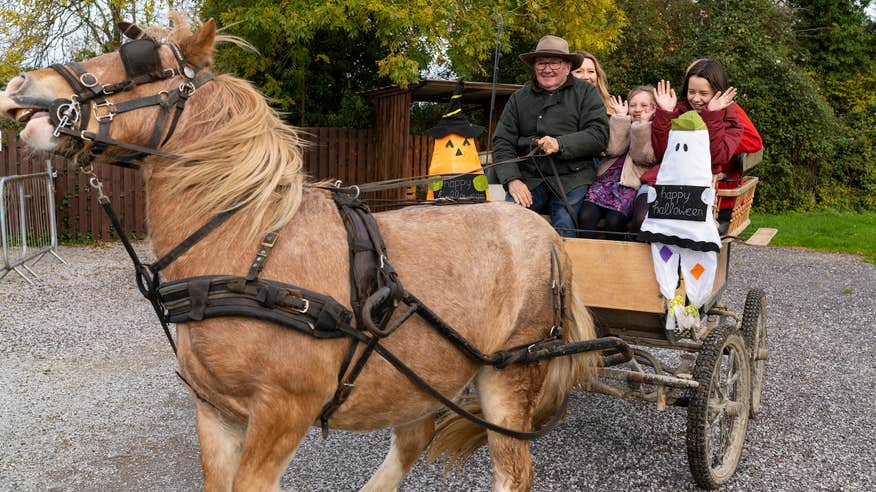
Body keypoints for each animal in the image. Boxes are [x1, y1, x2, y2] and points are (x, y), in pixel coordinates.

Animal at [0, 13, 600, 490]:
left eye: (141, 62)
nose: (20, 83)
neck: (249, 247)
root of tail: (543, 229)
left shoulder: (284, 411)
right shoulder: (215, 412)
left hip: (509, 377)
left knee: (512, 471)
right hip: (422, 373)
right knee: (414, 438)